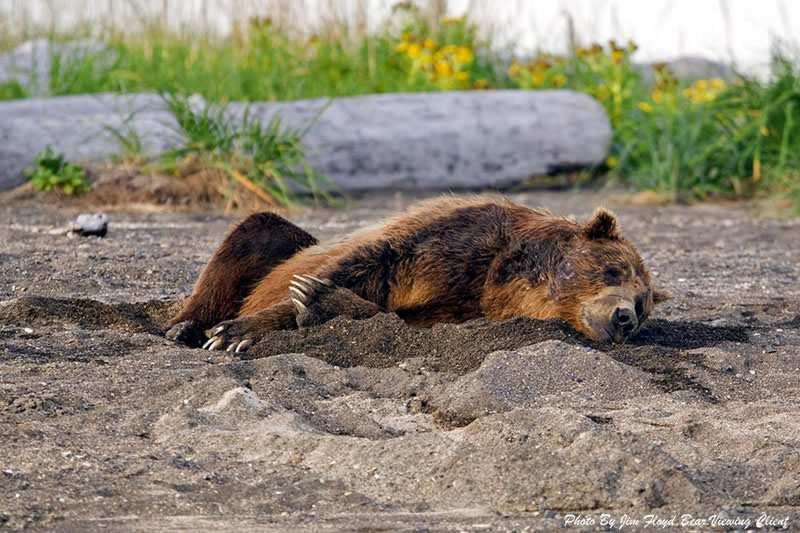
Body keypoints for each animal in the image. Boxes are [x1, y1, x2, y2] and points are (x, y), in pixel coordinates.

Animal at [167, 193, 668, 352]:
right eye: (613, 269)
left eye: (643, 305)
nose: (624, 318)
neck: (500, 278)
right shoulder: (454, 239)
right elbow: (360, 264)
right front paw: (236, 331)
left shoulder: (463, 307)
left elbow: (397, 320)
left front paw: (318, 301)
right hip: (281, 243)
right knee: (253, 230)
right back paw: (186, 326)